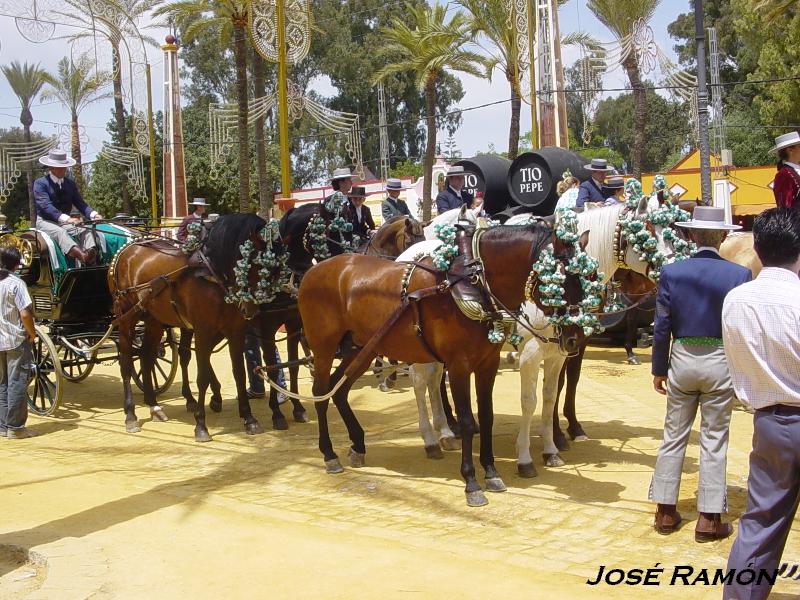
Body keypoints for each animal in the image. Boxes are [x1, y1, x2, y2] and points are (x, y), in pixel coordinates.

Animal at [296, 220, 592, 506]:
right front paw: (472, 482)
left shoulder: (488, 363)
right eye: (560, 280)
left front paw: (491, 472)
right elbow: (468, 420)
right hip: (324, 349)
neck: (474, 282)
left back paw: (358, 445)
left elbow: (487, 416)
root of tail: (314, 271)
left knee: (340, 390)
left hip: (362, 347)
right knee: (321, 393)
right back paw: (329, 454)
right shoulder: (460, 365)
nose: (575, 338)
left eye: (588, 277)